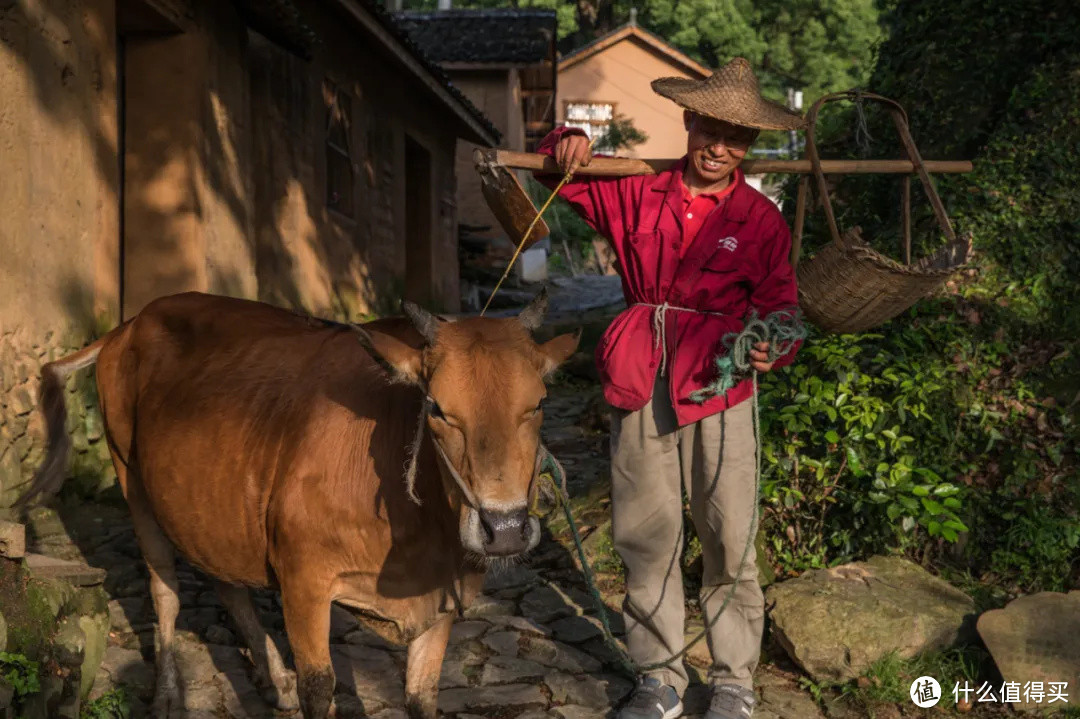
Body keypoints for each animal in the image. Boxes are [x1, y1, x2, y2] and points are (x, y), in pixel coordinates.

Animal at [14, 289, 583, 716]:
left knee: (226, 582)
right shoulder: (303, 581)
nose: (503, 528)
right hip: (132, 479)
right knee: (165, 590)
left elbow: (422, 698)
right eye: (437, 407)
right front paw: (298, 683)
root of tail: (129, 324)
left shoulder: (443, 598)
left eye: (539, 402)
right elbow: (319, 688)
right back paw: (168, 695)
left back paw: (274, 680)